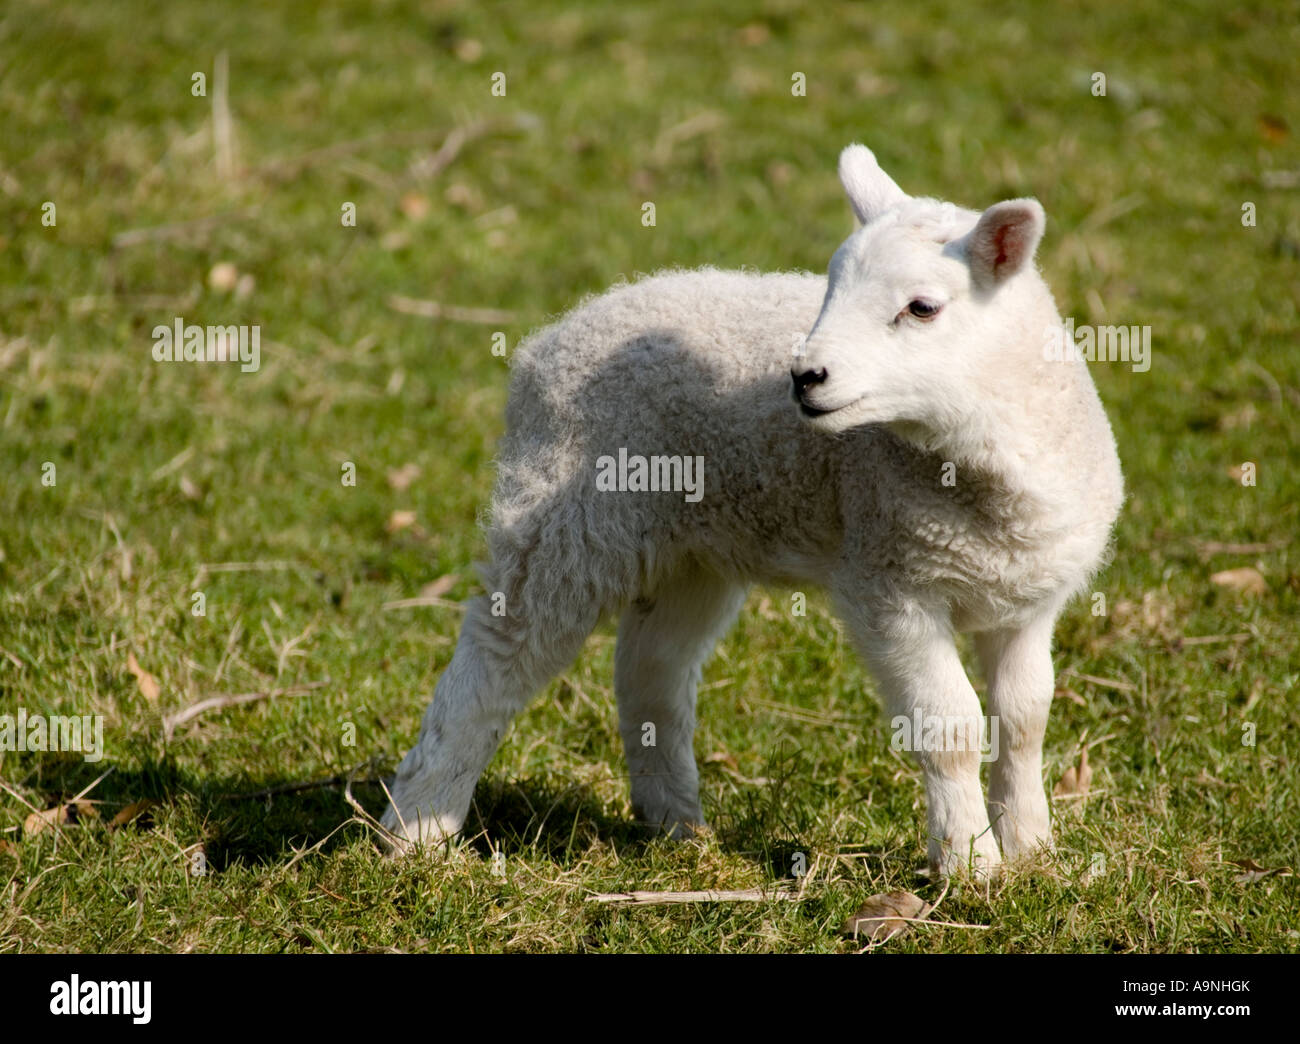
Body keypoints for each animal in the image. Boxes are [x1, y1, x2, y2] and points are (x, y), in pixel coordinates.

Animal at [381, 144, 1124, 878]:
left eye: (922, 308)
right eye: (829, 287)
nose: (805, 377)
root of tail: (552, 338)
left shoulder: (1028, 599)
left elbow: (1024, 721)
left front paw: (1032, 849)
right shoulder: (890, 586)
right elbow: (950, 727)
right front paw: (972, 866)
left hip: (690, 549)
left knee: (651, 672)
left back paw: (676, 826)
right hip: (566, 518)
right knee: (496, 658)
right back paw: (415, 833)